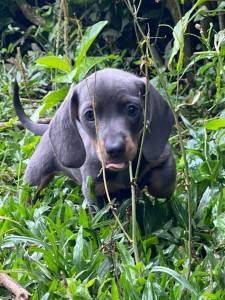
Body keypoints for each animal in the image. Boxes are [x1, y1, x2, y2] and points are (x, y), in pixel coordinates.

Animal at [13, 69, 177, 207]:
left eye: (132, 109)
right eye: (90, 115)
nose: (115, 149)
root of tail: (47, 129)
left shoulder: (164, 157)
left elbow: (163, 185)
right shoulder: (94, 190)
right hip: (35, 176)